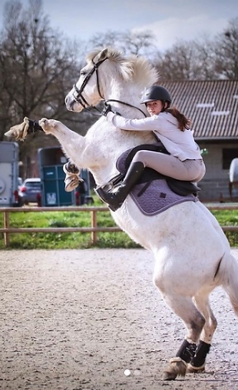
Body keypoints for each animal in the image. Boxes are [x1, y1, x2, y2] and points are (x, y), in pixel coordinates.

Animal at [4, 47, 238, 380]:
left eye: (82, 72)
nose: (69, 100)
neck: (125, 118)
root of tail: (224, 256)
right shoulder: (84, 153)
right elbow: (68, 157)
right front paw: (69, 176)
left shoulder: (86, 150)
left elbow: (57, 129)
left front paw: (29, 127)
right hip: (199, 291)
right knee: (211, 321)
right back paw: (196, 362)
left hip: (170, 287)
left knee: (196, 322)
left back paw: (176, 364)